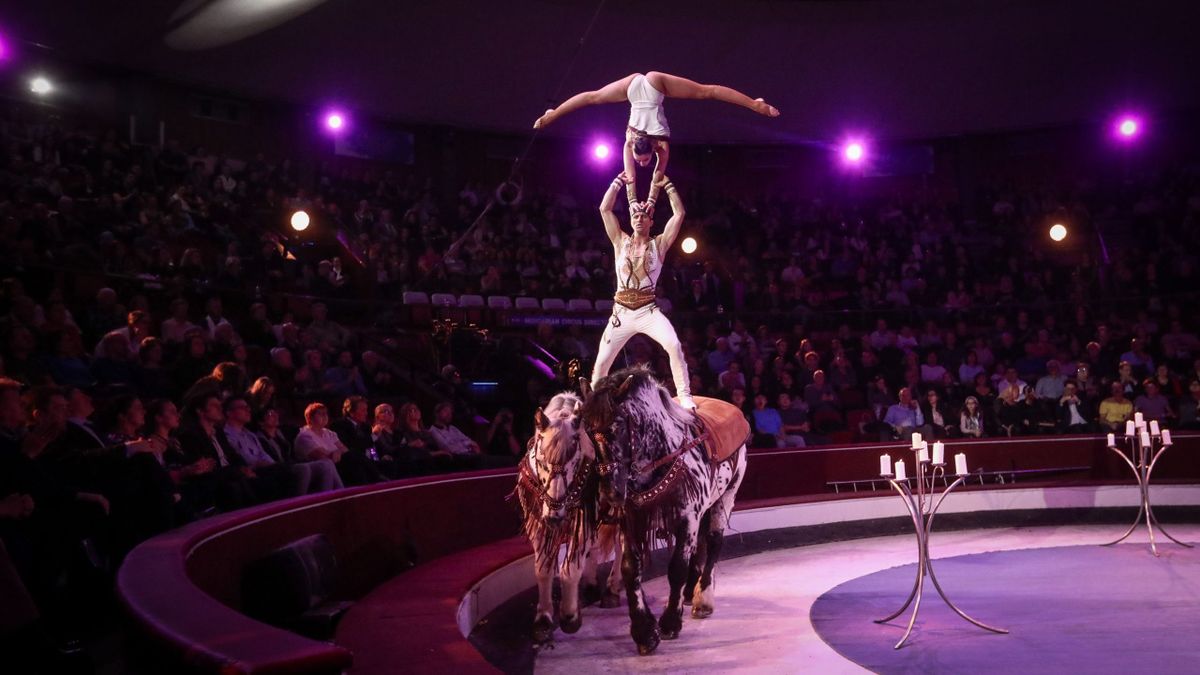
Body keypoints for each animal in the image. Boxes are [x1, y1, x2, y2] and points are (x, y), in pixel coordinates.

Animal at [511, 389, 619, 638]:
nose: (555, 514)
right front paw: (543, 617)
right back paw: (591, 583)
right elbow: (542, 568)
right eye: (541, 459)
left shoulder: (583, 518)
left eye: (575, 461)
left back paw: (612, 589)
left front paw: (570, 616)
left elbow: (569, 569)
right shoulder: (536, 521)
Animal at [578, 365, 739, 653]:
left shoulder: (688, 518)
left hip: (726, 495)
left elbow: (676, 568)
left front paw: (669, 622)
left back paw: (703, 598)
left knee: (713, 542)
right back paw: (690, 592)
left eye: (618, 425)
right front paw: (644, 631)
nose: (609, 493)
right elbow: (631, 569)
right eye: (586, 429)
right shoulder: (631, 519)